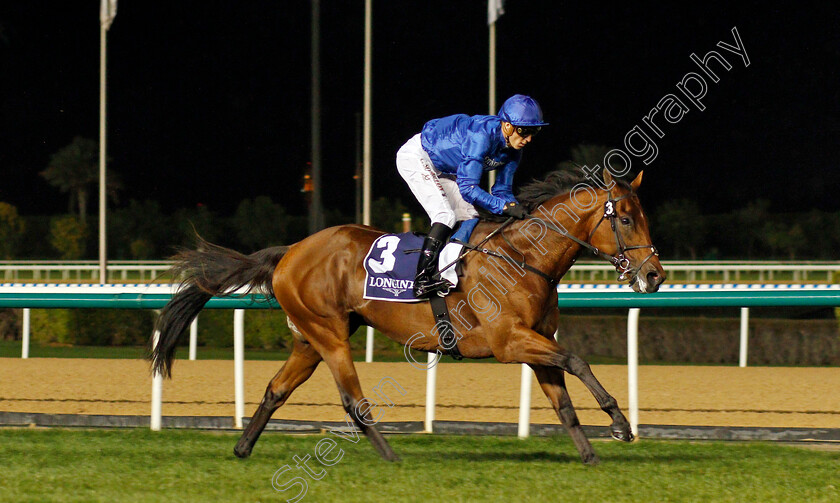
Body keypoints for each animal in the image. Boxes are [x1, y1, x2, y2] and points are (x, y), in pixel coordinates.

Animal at [149, 167, 664, 466]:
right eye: (625, 219)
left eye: (643, 217)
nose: (654, 275)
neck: (522, 257)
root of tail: (290, 251)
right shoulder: (509, 341)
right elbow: (577, 360)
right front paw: (620, 424)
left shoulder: (533, 341)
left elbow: (563, 403)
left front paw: (591, 455)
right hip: (330, 335)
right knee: (353, 401)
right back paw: (391, 457)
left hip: (310, 339)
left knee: (276, 388)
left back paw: (242, 447)